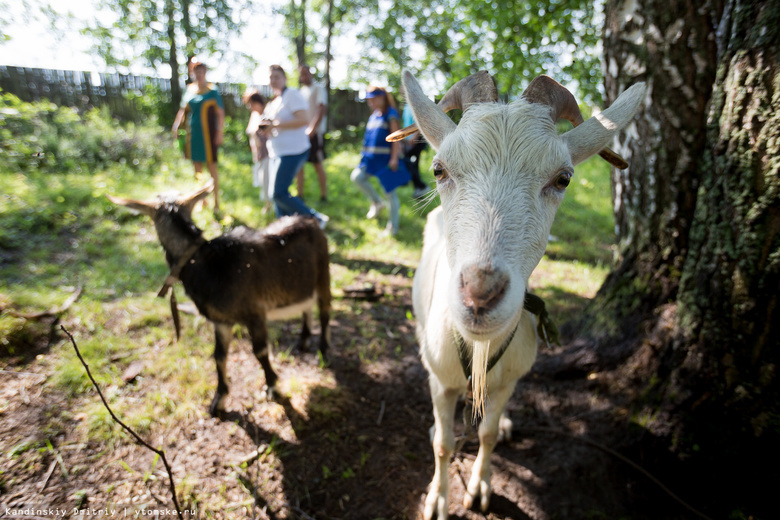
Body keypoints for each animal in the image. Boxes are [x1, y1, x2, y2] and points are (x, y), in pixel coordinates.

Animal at [108, 183, 330, 414]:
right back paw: (302, 341)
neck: (207, 264)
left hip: (324, 274)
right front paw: (219, 399)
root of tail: (310, 220)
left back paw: (323, 348)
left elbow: (260, 351)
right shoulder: (221, 321)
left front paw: (272, 386)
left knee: (324, 311)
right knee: (307, 306)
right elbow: (219, 356)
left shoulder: (255, 313)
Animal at [390, 70, 644, 520]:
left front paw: (480, 488)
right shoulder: (441, 378)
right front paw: (437, 500)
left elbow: (488, 434)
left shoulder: (510, 377)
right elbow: (443, 442)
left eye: (562, 179)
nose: (480, 294)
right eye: (439, 170)